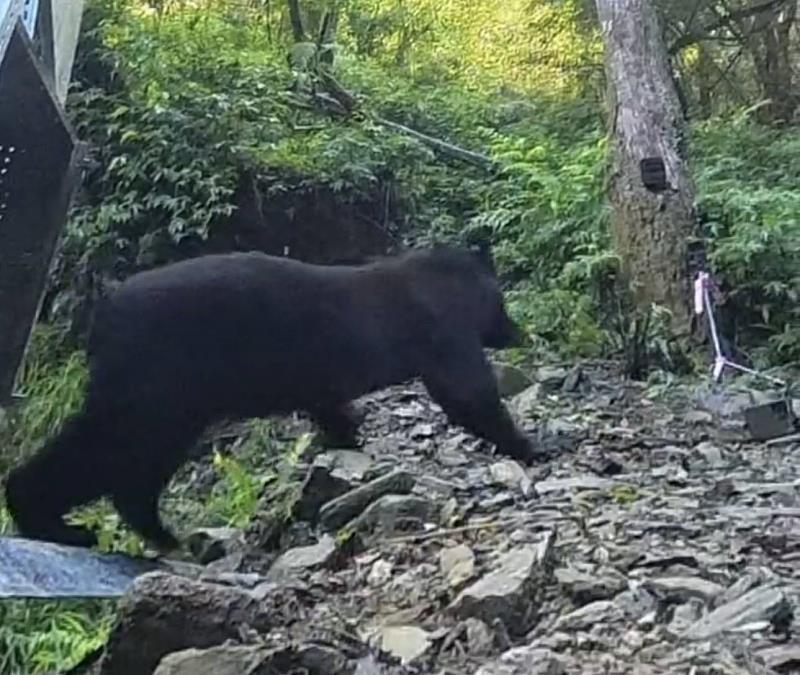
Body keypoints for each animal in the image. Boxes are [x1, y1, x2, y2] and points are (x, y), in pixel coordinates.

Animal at [4, 245, 538, 553]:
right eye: (503, 303)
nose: (520, 332)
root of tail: (103, 313)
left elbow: (331, 406)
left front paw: (346, 436)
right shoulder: (440, 330)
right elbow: (465, 391)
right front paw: (529, 445)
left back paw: (153, 531)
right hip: (156, 384)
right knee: (108, 447)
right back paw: (48, 518)